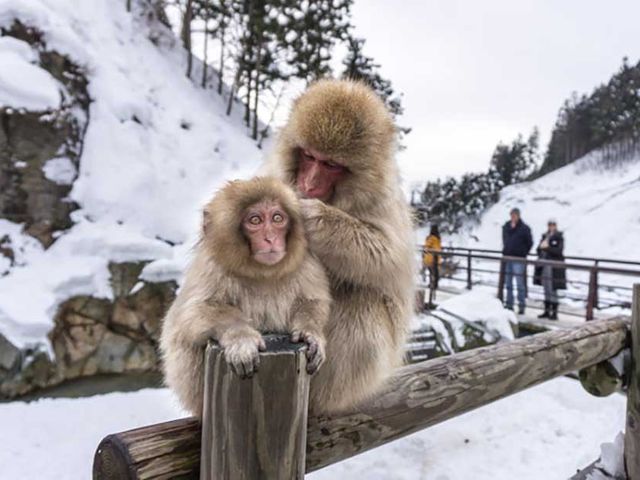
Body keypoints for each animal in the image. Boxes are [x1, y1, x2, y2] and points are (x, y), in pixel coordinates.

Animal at [160, 177, 330, 417]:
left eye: (277, 218)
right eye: (255, 220)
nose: (270, 238)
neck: (261, 273)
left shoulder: (306, 264)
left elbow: (313, 301)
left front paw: (310, 333)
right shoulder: (211, 268)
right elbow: (193, 314)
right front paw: (241, 338)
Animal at [264, 79, 416, 413]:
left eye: (331, 164)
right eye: (309, 156)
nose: (308, 184)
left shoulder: (383, 201)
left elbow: (388, 257)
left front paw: (314, 217)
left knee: (364, 300)